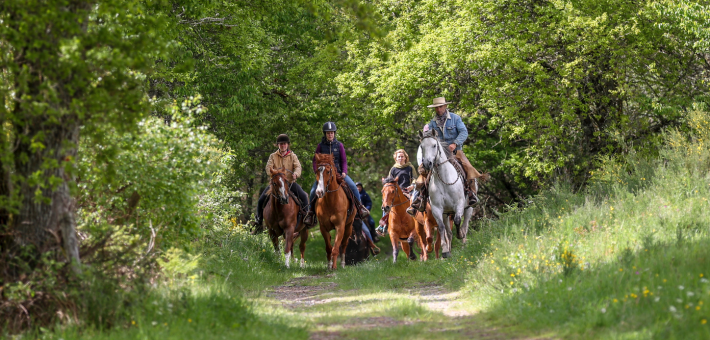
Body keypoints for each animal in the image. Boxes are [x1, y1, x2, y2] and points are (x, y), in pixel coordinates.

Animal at [420, 130, 476, 258]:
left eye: (434, 145)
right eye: (421, 146)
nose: (427, 164)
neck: (444, 180)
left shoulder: (459, 204)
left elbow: (457, 221)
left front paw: (459, 235)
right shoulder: (437, 209)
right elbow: (441, 228)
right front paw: (445, 251)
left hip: (469, 208)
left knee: (465, 226)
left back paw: (464, 244)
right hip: (446, 213)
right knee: (448, 232)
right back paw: (449, 250)